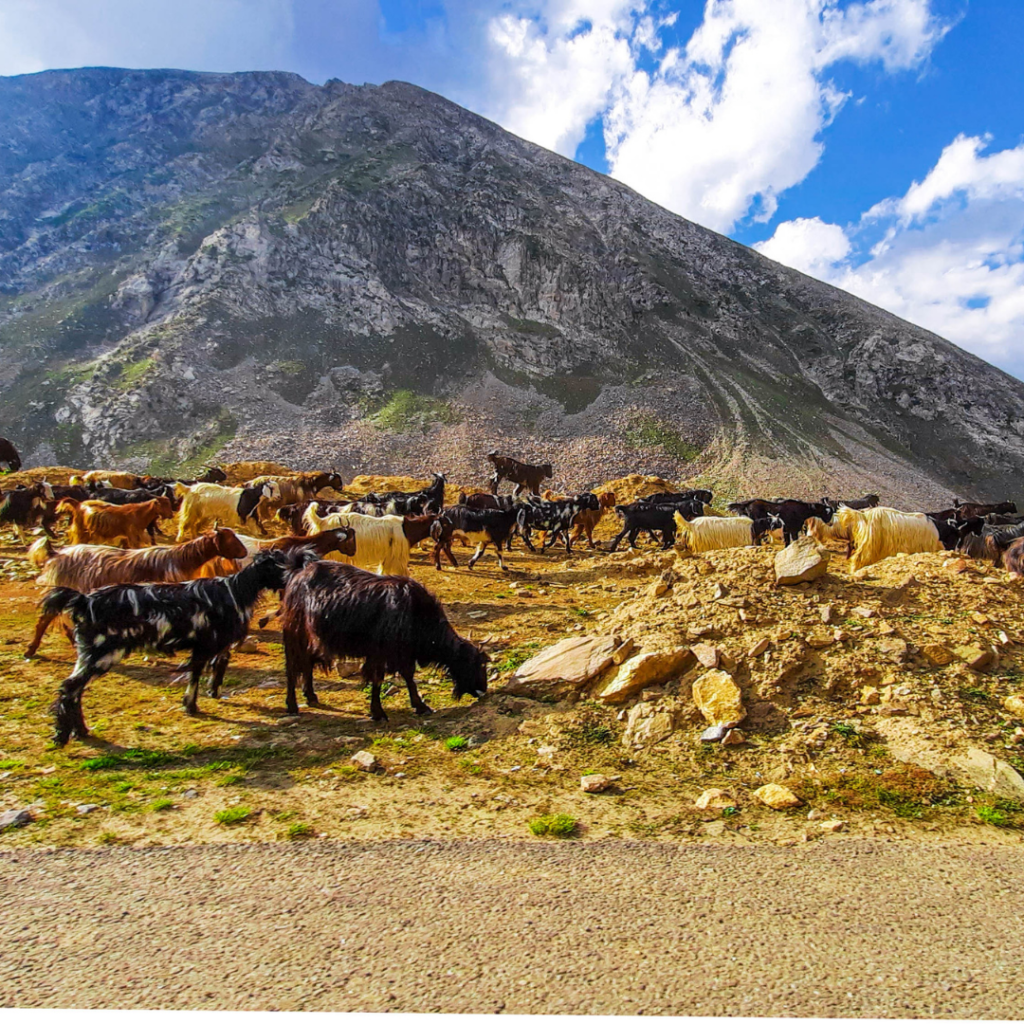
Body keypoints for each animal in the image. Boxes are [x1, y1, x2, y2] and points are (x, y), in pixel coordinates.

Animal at [24, 528, 250, 658]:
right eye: (230, 539)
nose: (245, 552)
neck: (177, 561)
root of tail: (56, 553)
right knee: (46, 620)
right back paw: (31, 650)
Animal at [46, 549, 309, 745]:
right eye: (280, 566)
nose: (296, 578)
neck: (236, 591)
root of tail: (84, 601)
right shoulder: (207, 643)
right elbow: (198, 671)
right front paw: (191, 705)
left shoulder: (213, 643)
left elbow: (214, 665)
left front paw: (210, 693)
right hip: (101, 652)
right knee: (70, 687)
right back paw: (63, 734)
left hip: (88, 654)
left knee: (74, 689)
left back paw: (79, 731)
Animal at [280, 559, 489, 720]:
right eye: (476, 664)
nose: (483, 689)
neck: (416, 614)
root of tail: (297, 577)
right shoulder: (381, 654)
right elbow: (380, 679)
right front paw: (379, 712)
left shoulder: (402, 655)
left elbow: (407, 677)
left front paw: (418, 706)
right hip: (295, 634)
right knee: (292, 668)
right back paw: (292, 706)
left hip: (312, 640)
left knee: (307, 664)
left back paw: (311, 696)